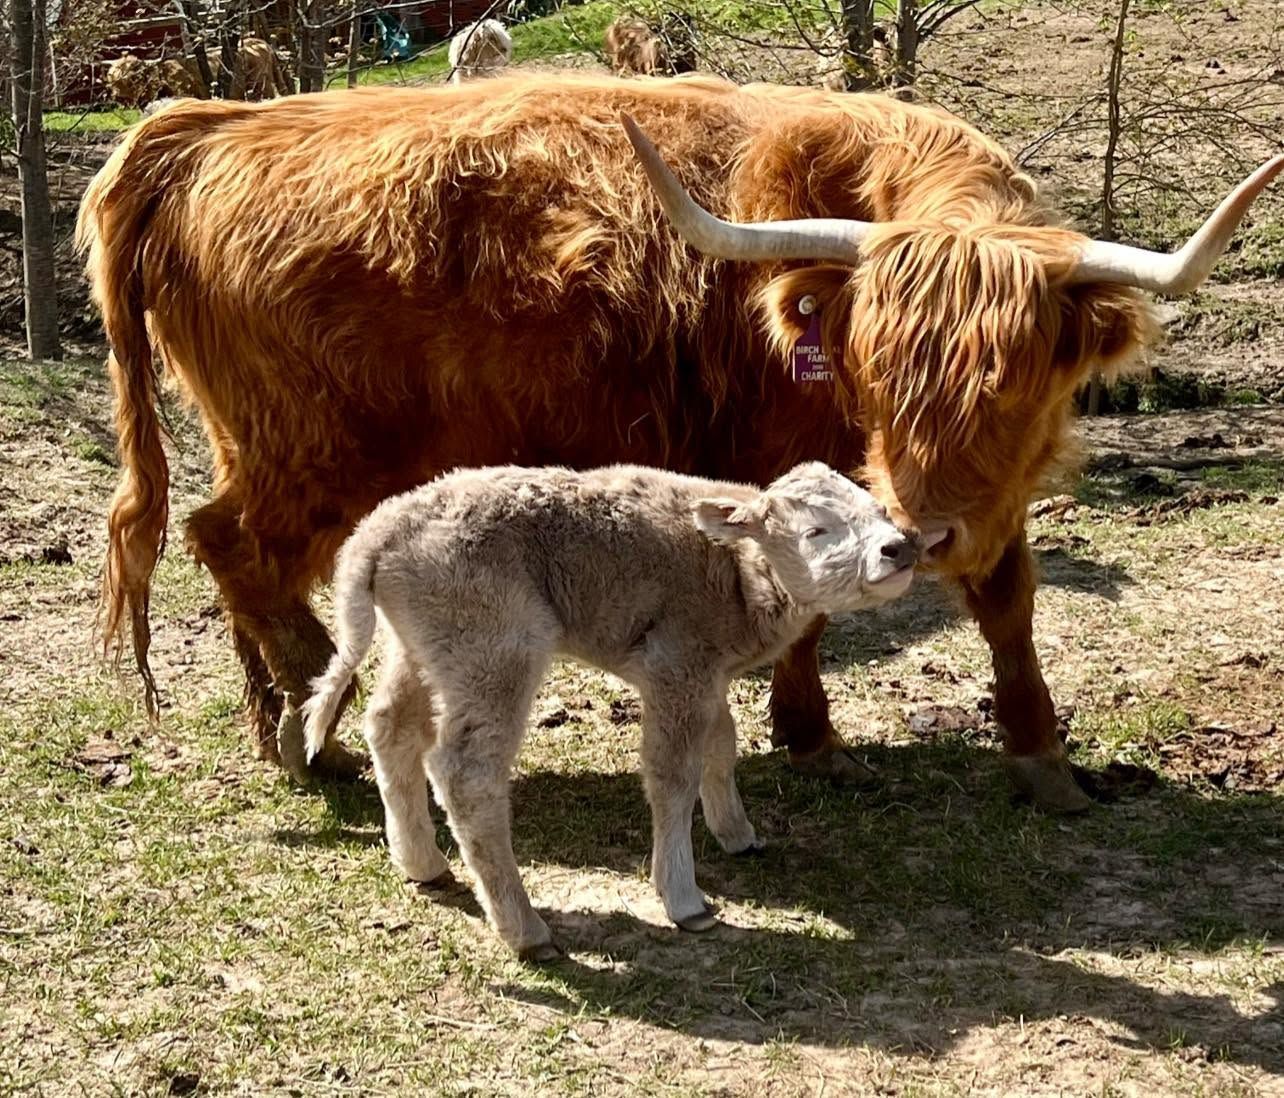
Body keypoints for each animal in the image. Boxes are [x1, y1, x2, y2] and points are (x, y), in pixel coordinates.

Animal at [75, 74, 1283, 814]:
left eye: (1019, 382)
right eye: (870, 368)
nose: (924, 533)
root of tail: (205, 128)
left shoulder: (988, 499)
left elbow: (1010, 602)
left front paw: (1042, 756)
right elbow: (811, 604)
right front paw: (811, 735)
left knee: (220, 541)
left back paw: (273, 723)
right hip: (313, 451)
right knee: (234, 546)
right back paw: (300, 711)